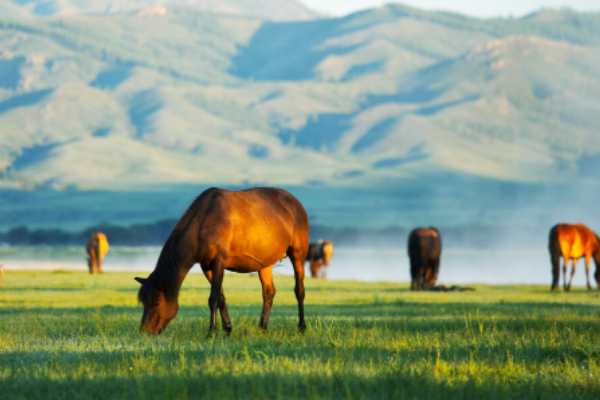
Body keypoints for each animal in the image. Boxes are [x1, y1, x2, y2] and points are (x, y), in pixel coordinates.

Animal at [135, 187, 310, 334]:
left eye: (157, 303)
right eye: (143, 303)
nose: (144, 331)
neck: (203, 222)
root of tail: (295, 203)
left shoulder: (219, 261)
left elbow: (213, 298)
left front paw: (212, 331)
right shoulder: (207, 266)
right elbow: (220, 297)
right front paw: (227, 328)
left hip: (298, 255)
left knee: (299, 291)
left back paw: (301, 327)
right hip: (265, 264)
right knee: (268, 292)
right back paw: (262, 327)